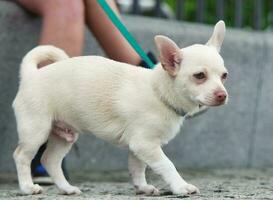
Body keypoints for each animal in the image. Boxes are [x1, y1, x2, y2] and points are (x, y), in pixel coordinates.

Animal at [11, 21, 226, 196]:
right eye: (199, 76)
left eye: (224, 76)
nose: (222, 95)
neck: (158, 92)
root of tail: (31, 75)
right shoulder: (145, 143)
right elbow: (167, 165)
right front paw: (181, 186)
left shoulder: (138, 146)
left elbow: (137, 167)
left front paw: (142, 187)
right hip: (36, 130)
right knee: (22, 156)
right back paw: (27, 187)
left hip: (63, 135)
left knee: (50, 160)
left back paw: (66, 188)